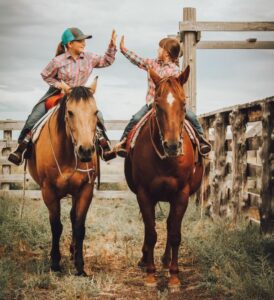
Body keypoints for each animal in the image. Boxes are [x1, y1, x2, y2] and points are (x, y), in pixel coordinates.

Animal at [27, 78, 99, 276]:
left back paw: (74, 253)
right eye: (70, 112)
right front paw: (55, 263)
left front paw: (80, 266)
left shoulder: (85, 191)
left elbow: (79, 226)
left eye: (96, 112)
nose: (86, 150)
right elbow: (56, 226)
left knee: (74, 218)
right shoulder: (48, 192)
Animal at [124, 67, 203, 288]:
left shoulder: (181, 195)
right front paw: (151, 274)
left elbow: (175, 234)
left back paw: (167, 261)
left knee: (169, 225)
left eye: (183, 104)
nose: (172, 145)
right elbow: (151, 233)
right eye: (157, 106)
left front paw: (174, 277)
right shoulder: (144, 194)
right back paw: (146, 259)